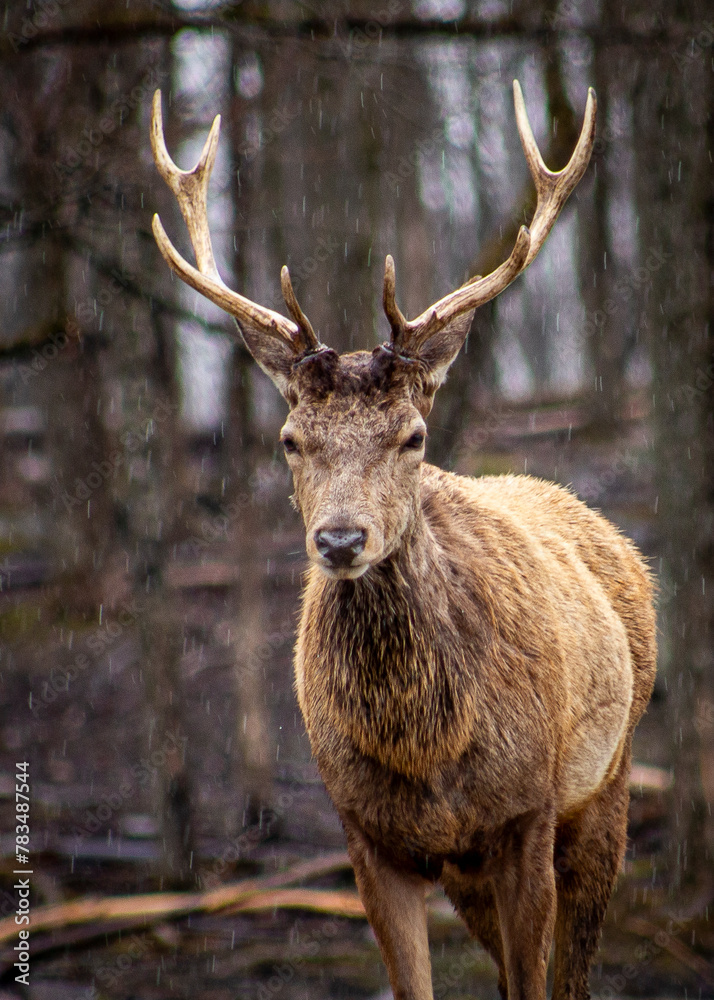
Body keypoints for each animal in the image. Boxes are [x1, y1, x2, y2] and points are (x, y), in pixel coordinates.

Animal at [149, 82, 656, 1000]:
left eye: (412, 436)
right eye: (290, 439)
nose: (340, 537)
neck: (428, 751)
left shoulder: (526, 813)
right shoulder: (366, 833)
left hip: (610, 784)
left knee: (574, 970)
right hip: (470, 871)